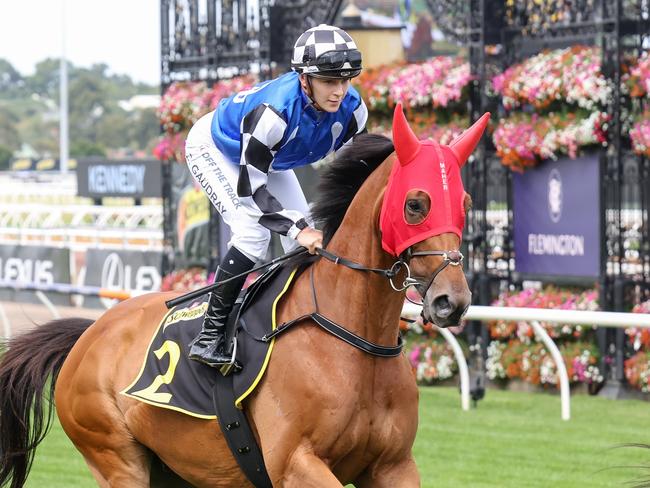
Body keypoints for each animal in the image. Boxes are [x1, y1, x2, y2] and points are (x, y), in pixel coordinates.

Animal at [0, 107, 486, 488]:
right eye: (415, 205)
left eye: (465, 203)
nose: (452, 301)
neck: (352, 337)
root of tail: (89, 335)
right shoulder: (295, 465)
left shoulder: (394, 466)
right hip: (117, 459)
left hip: (174, 468)